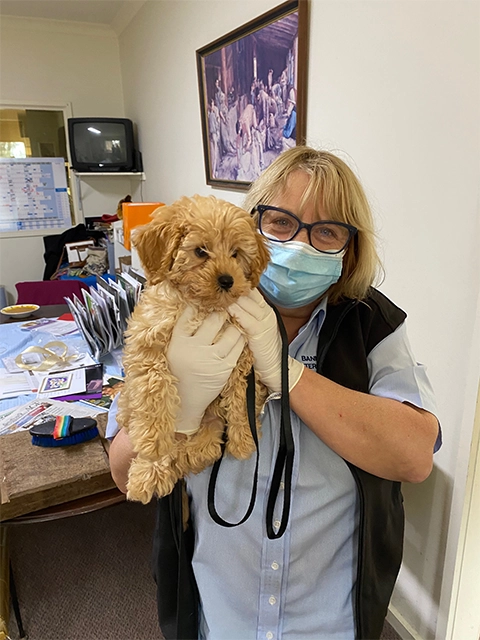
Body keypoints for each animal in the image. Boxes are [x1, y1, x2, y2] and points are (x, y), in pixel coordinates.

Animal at [117, 192, 270, 502]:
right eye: (200, 251)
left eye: (236, 253)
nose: (227, 280)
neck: (202, 306)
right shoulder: (147, 344)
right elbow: (154, 392)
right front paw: (153, 445)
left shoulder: (242, 356)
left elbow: (240, 399)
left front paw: (244, 439)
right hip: (128, 407)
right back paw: (147, 473)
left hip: (210, 428)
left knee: (197, 451)